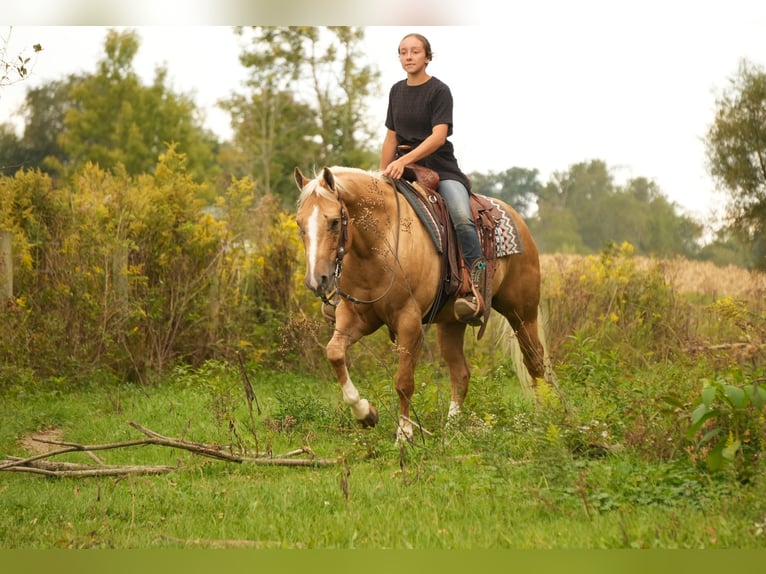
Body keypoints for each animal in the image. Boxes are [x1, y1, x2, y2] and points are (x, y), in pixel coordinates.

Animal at [294, 165, 547, 442]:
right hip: (451, 324)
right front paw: (366, 413)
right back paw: (452, 427)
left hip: (522, 314)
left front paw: (404, 433)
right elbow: (335, 353)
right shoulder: (356, 317)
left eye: (334, 221)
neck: (379, 244)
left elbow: (404, 381)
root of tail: (517, 219)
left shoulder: (409, 320)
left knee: (535, 362)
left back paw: (544, 419)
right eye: (299, 223)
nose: (317, 280)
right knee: (461, 373)